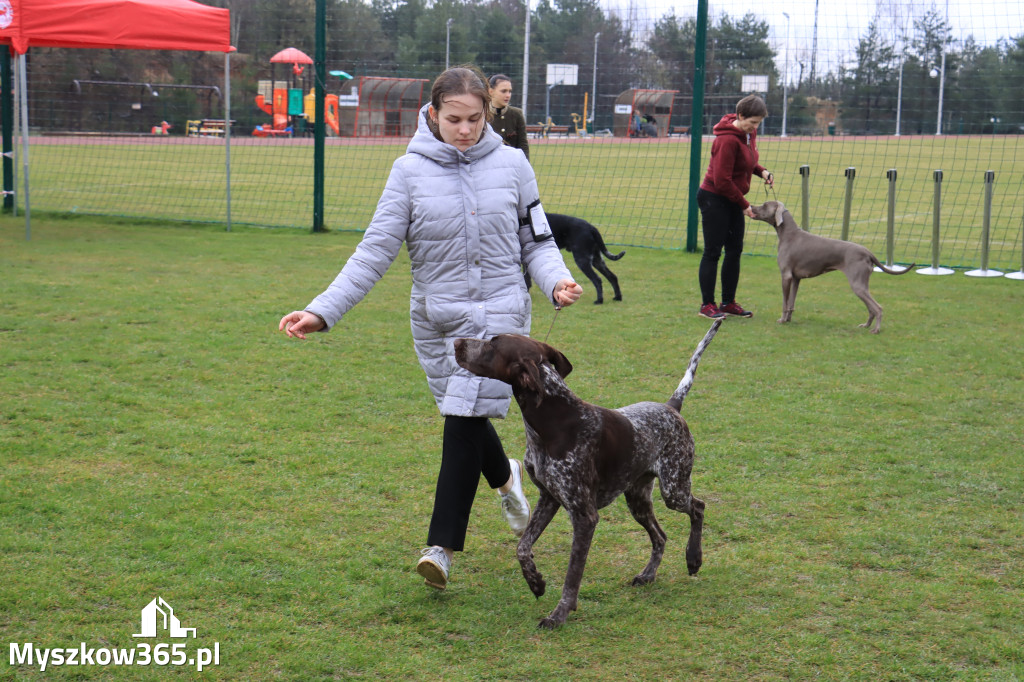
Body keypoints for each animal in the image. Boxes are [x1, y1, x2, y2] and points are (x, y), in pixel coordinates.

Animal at [452, 319, 724, 626]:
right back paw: (648, 574)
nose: (456, 342)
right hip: (638, 500)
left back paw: (694, 558)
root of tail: (670, 406)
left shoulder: (584, 516)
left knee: (698, 507)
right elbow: (522, 547)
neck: (551, 423)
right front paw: (535, 582)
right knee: (660, 536)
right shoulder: (549, 498)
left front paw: (559, 614)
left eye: (492, 345)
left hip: (673, 489)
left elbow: (572, 575)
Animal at [749, 199, 917, 331]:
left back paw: (876, 330)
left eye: (765, 205)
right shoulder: (796, 278)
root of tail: (867, 251)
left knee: (878, 307)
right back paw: (866, 325)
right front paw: (789, 319)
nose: (750, 206)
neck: (789, 234)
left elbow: (784, 302)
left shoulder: (786, 276)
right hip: (862, 284)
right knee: (871, 308)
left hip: (857, 284)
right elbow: (791, 302)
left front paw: (782, 320)